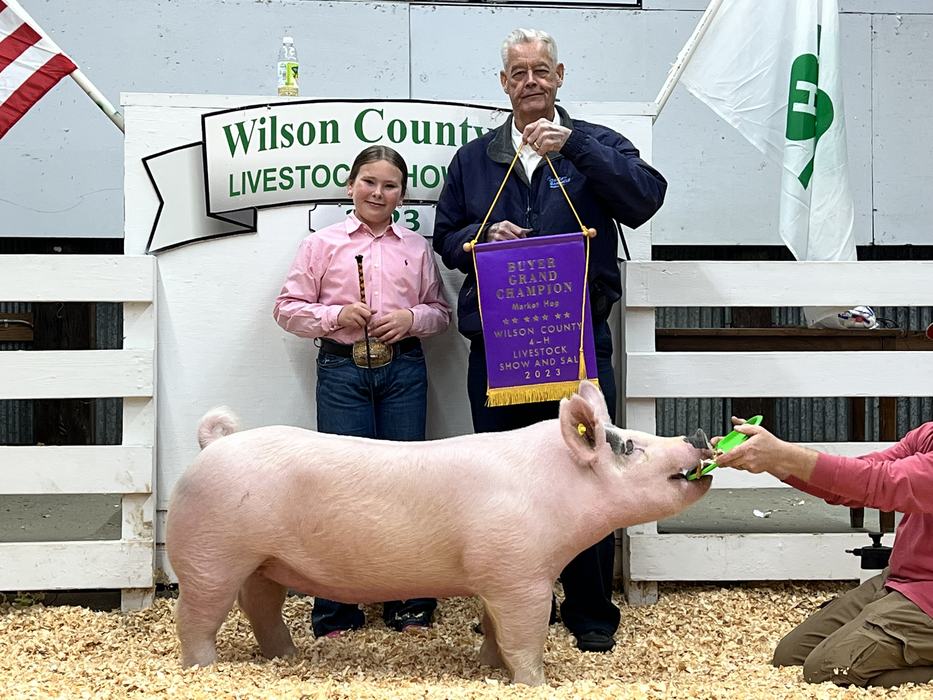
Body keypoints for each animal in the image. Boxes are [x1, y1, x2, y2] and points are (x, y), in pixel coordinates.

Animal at [166, 380, 712, 685]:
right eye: (630, 446)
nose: (697, 434)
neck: (555, 489)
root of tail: (213, 447)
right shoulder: (521, 576)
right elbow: (525, 635)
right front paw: (533, 683)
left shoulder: (495, 576)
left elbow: (494, 628)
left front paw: (488, 668)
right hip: (211, 555)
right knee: (195, 617)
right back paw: (202, 671)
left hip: (264, 562)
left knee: (259, 607)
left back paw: (289, 657)